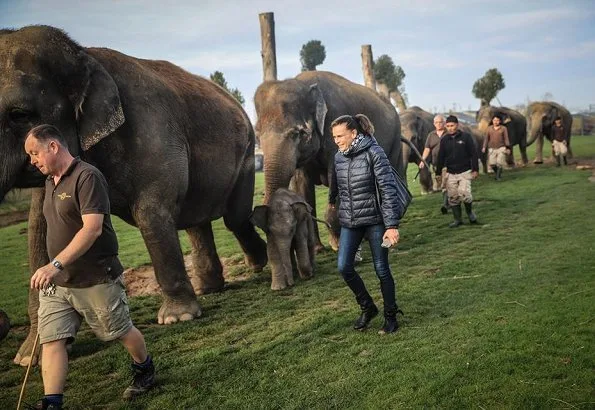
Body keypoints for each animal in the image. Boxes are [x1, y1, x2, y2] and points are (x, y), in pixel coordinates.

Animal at [0, 25, 266, 366]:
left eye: (19, 115)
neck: (84, 54)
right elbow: (40, 229)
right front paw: (29, 357)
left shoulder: (152, 131)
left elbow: (151, 211)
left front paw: (177, 318)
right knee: (197, 222)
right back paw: (210, 288)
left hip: (245, 151)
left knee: (233, 218)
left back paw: (258, 264)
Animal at [255, 71, 406, 251]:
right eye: (257, 135)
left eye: (297, 133)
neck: (303, 84)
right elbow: (302, 185)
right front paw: (317, 249)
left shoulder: (334, 122)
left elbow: (337, 180)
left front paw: (337, 245)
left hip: (396, 139)